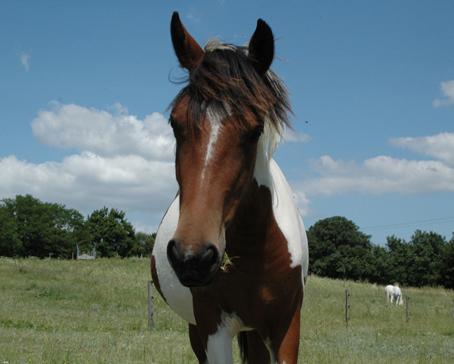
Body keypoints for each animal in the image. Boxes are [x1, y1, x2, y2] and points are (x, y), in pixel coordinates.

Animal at [152, 12, 308, 364]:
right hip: (198, 329)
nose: (193, 257)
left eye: (256, 130)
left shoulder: (287, 326)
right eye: (174, 123)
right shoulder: (211, 325)